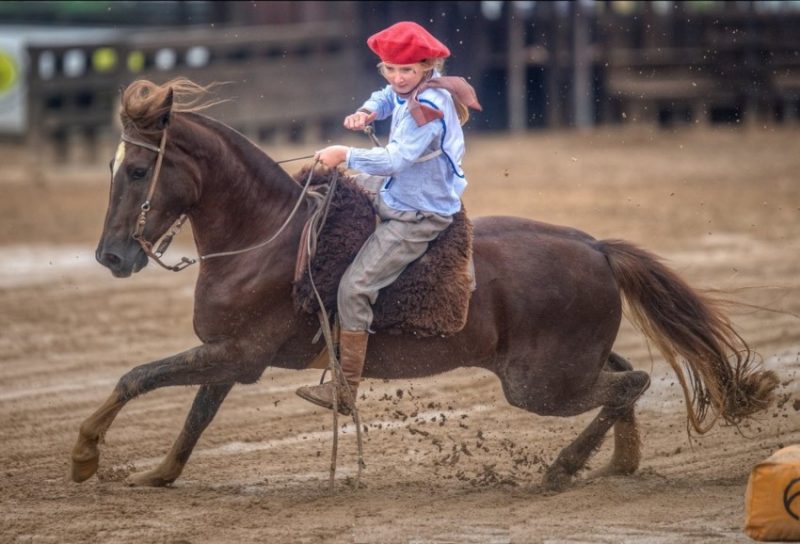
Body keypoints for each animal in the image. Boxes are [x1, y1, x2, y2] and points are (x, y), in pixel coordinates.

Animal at [72, 79, 780, 492]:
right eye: (111, 165)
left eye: (137, 170)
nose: (110, 255)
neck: (269, 235)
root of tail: (596, 247)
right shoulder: (227, 357)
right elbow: (194, 414)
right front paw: (158, 474)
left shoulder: (237, 355)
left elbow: (137, 377)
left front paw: (84, 454)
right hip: (565, 366)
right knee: (626, 375)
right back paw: (617, 463)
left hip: (539, 384)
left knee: (629, 383)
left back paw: (562, 469)